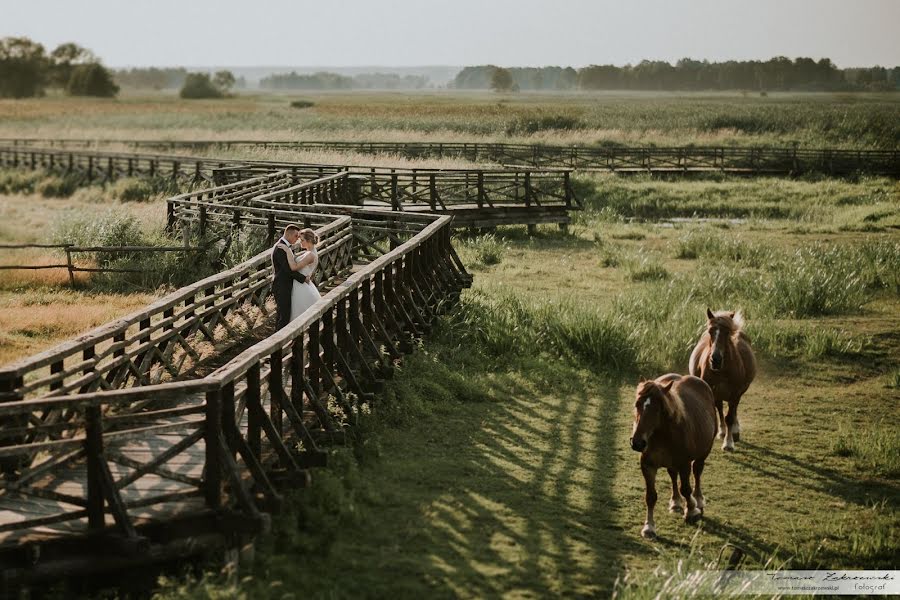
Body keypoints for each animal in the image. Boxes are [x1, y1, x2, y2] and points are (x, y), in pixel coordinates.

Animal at [632, 376, 716, 540]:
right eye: (637, 404)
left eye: (657, 409)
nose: (638, 443)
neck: (661, 436)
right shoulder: (648, 466)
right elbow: (650, 496)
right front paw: (649, 527)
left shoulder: (684, 464)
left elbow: (686, 489)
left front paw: (691, 511)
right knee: (672, 475)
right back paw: (676, 502)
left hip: (703, 453)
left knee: (697, 472)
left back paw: (698, 500)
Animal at [692, 310, 756, 450]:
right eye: (710, 331)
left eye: (727, 333)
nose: (715, 359)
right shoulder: (711, 390)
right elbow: (717, 412)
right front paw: (723, 434)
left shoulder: (735, 393)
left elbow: (730, 417)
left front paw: (728, 443)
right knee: (720, 408)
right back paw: (722, 431)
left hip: (737, 393)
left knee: (734, 409)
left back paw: (735, 431)